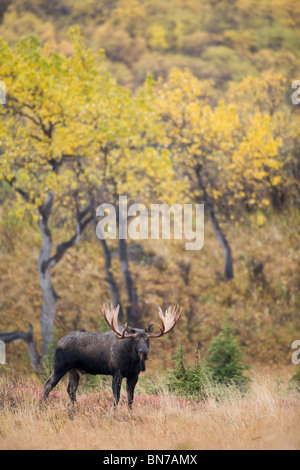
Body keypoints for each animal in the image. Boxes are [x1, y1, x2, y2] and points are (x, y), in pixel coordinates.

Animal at [43, 304, 182, 408]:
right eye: (135, 340)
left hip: (74, 370)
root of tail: (57, 343)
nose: (144, 352)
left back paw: (75, 408)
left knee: (71, 389)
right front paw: (114, 414)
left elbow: (130, 399)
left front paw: (130, 414)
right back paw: (42, 406)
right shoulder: (117, 372)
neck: (132, 361)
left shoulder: (134, 375)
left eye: (148, 339)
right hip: (61, 365)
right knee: (48, 384)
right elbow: (116, 397)